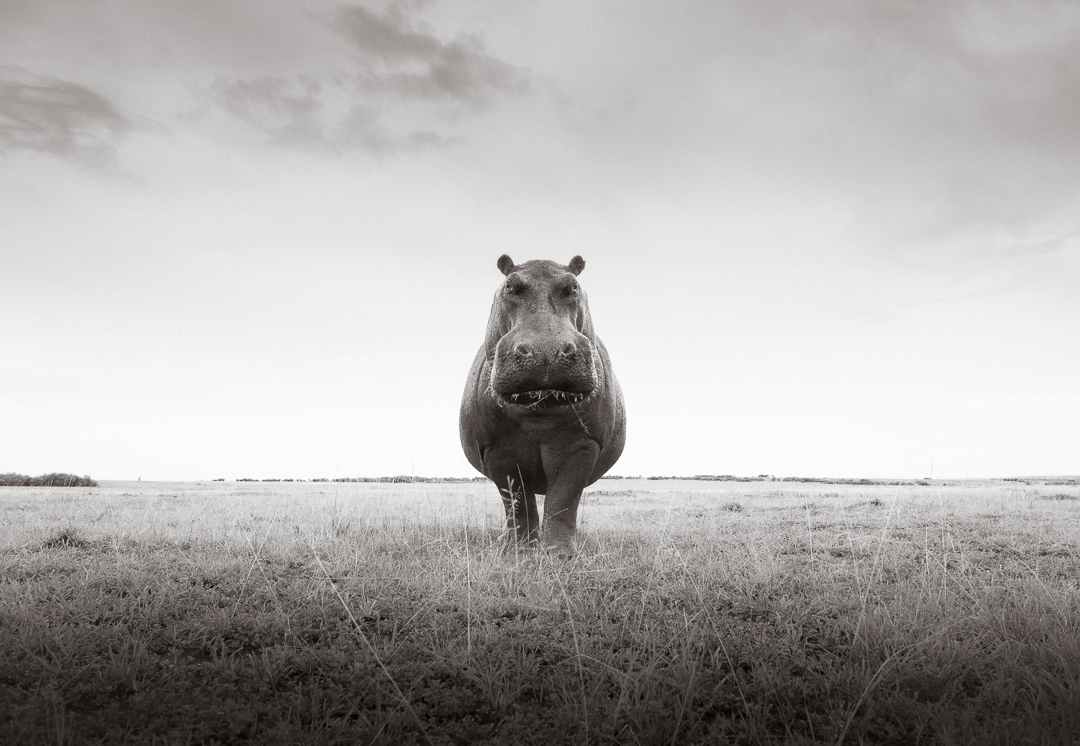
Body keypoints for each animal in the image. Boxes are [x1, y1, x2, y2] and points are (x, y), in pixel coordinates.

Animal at [459, 254, 626, 555]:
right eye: (509, 285)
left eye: (573, 286)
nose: (545, 349)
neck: (539, 414)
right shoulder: (496, 449)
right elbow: (517, 501)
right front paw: (520, 550)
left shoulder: (584, 443)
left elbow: (564, 498)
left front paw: (560, 553)